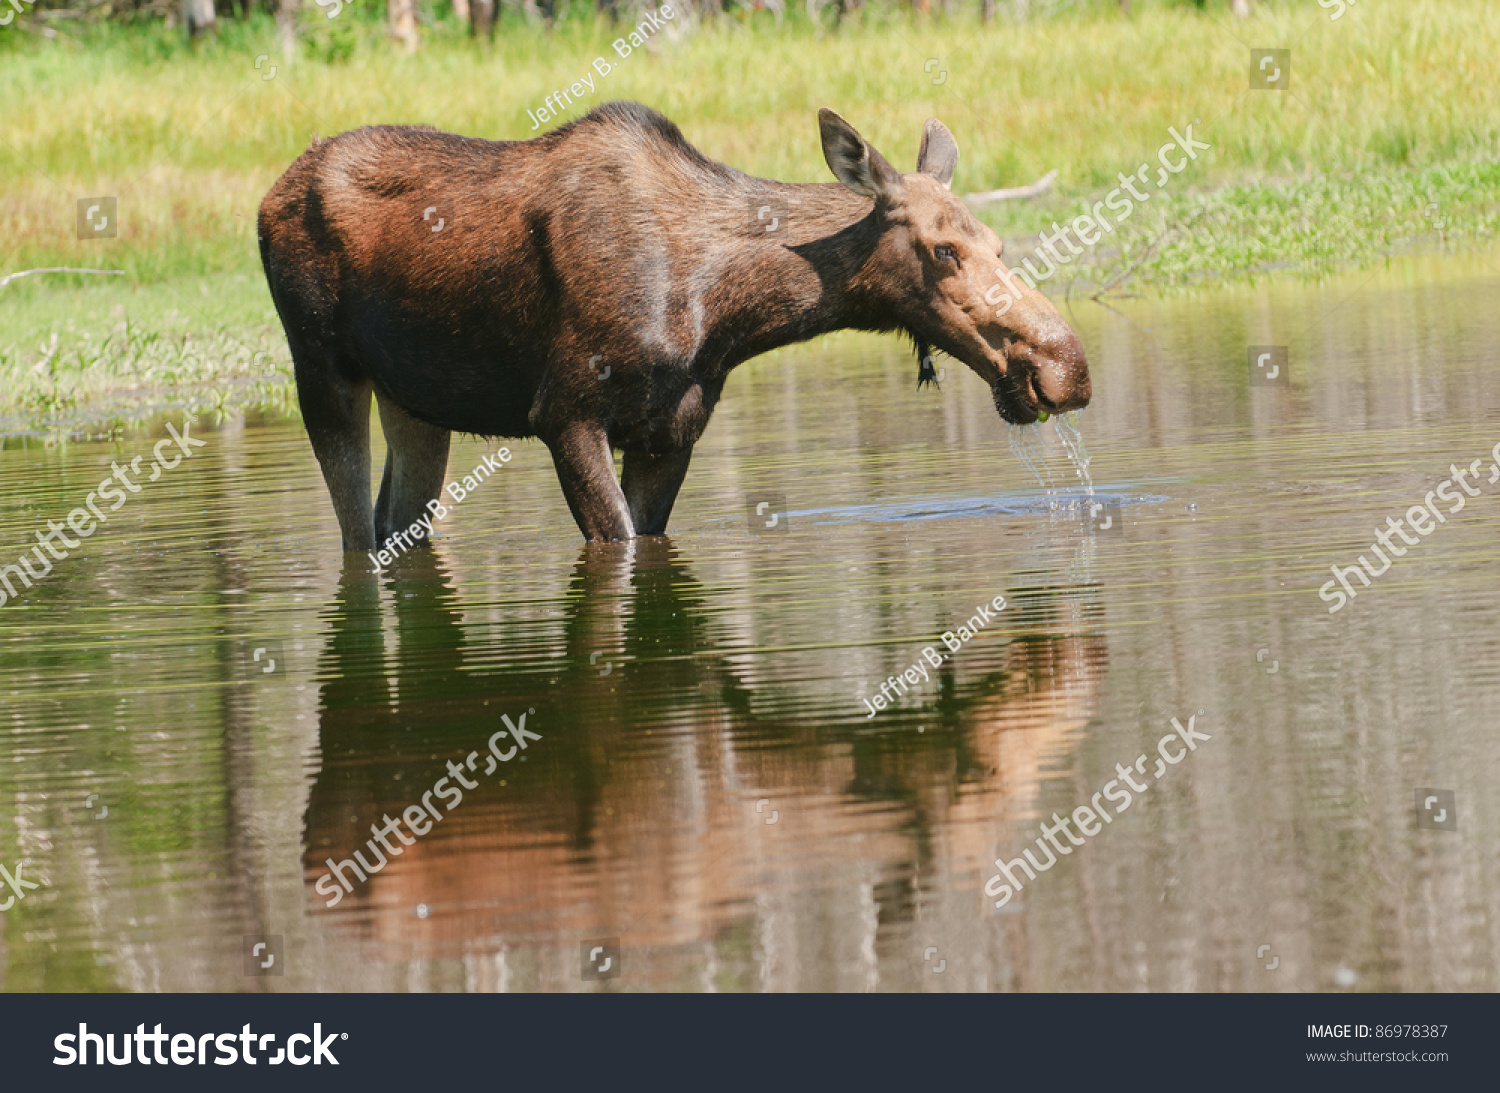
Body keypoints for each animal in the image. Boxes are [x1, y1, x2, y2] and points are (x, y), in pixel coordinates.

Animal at [258, 98, 1092, 548]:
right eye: (944, 249)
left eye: (998, 243)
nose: (1066, 368)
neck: (726, 309)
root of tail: (269, 196)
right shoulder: (565, 411)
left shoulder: (674, 429)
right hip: (321, 372)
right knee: (355, 534)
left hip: (418, 404)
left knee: (395, 526)